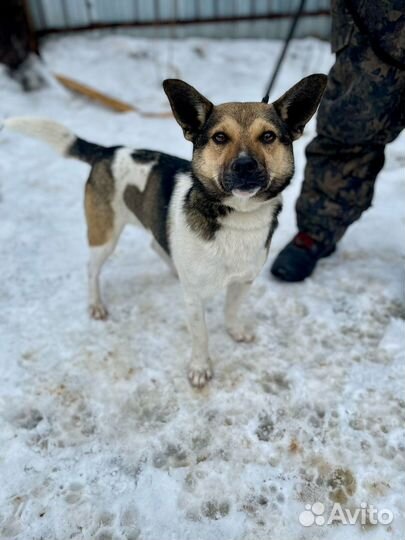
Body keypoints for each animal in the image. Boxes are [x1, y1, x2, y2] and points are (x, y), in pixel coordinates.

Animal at [3, 75, 326, 388]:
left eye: (268, 136)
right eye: (219, 137)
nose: (245, 165)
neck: (237, 217)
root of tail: (108, 151)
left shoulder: (243, 281)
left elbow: (231, 310)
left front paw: (234, 330)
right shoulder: (194, 298)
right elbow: (201, 335)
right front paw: (200, 368)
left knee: (156, 245)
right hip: (104, 234)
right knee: (92, 269)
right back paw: (96, 304)